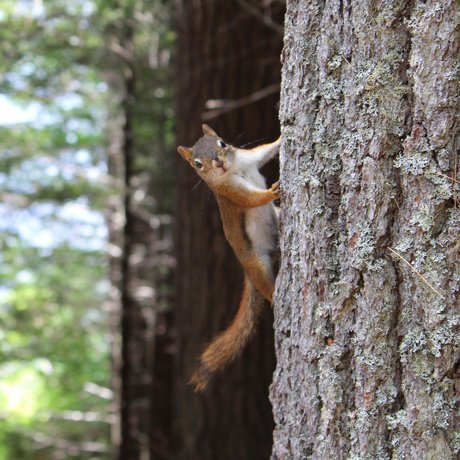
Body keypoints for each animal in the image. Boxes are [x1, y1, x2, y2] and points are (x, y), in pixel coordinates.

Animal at [177, 124, 280, 392]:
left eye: (222, 143)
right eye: (198, 164)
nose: (219, 163)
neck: (234, 169)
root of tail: (246, 271)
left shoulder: (249, 158)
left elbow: (265, 151)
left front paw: (282, 137)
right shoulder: (229, 191)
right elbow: (251, 199)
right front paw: (271, 192)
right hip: (257, 264)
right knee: (266, 287)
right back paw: (275, 297)